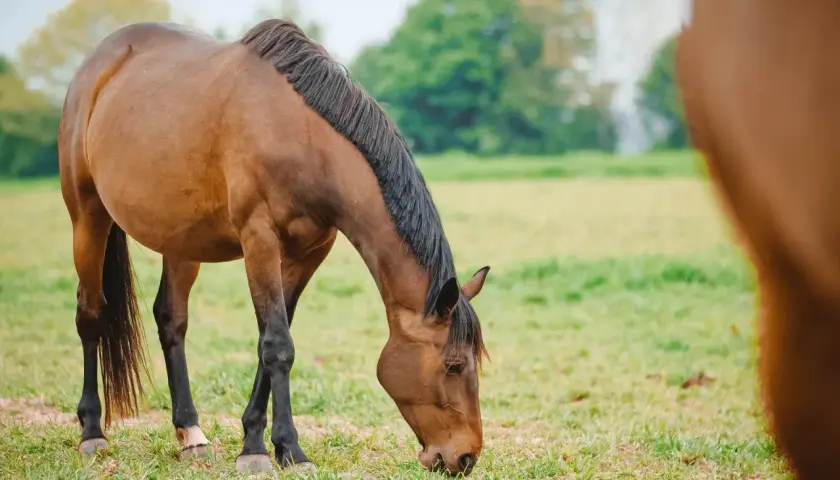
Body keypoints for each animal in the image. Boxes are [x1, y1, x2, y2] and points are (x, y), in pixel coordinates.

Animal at [58, 19, 490, 476]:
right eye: (454, 364)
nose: (464, 457)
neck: (303, 139)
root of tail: (97, 65)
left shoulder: (307, 254)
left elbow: (272, 340)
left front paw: (258, 444)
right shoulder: (259, 240)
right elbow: (279, 346)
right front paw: (288, 451)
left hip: (180, 240)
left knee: (171, 320)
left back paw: (191, 434)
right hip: (87, 216)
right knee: (90, 313)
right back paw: (92, 433)